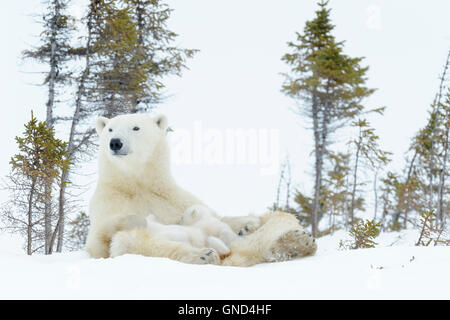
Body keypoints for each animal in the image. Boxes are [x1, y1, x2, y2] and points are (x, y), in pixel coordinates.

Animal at [84, 114, 316, 266]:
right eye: (110, 129)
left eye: (135, 128)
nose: (115, 142)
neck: (138, 184)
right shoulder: (109, 203)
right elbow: (100, 241)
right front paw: (136, 219)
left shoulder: (172, 198)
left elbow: (215, 215)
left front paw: (247, 224)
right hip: (143, 244)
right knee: (142, 244)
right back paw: (203, 255)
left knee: (278, 220)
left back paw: (296, 242)